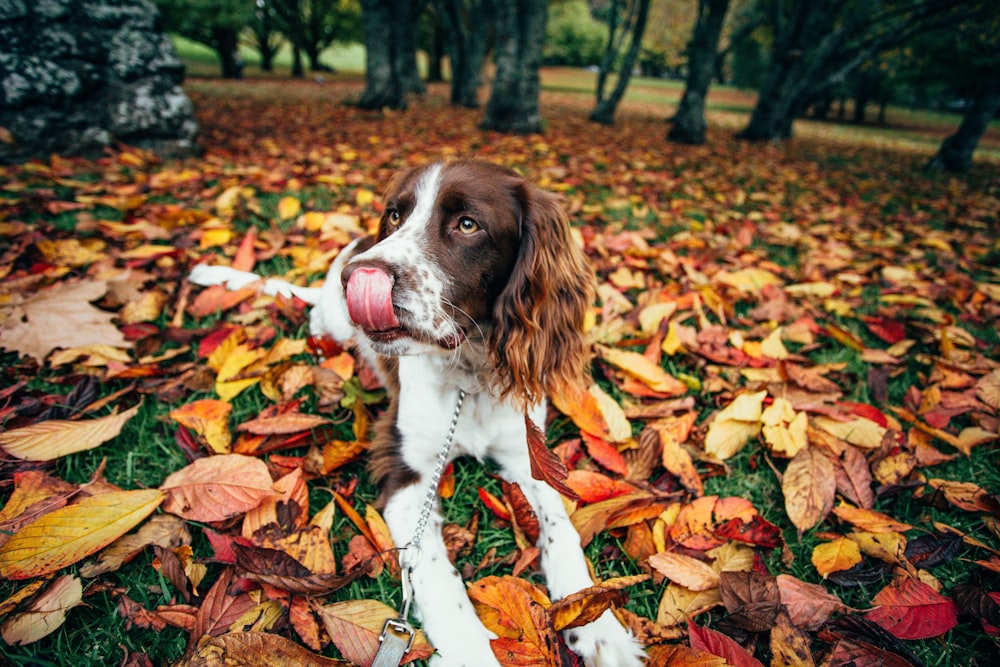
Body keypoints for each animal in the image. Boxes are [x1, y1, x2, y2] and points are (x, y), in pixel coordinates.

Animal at [188, 159, 644, 664]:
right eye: (394, 215)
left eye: (468, 224)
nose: (357, 277)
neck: (469, 376)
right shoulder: (405, 470)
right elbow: (436, 574)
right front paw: (472, 651)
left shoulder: (526, 452)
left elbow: (560, 527)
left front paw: (600, 627)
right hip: (332, 323)